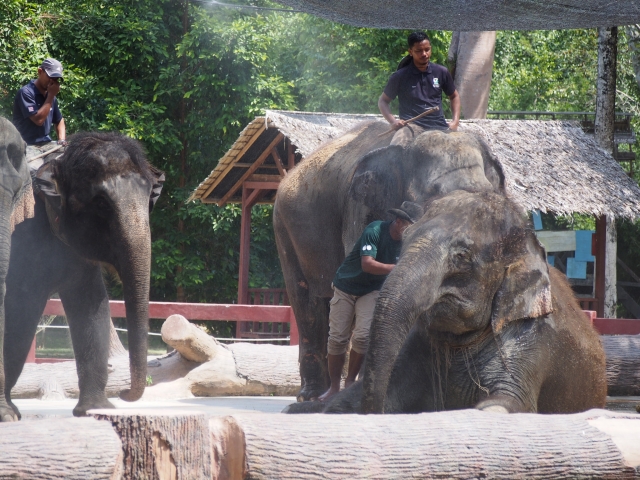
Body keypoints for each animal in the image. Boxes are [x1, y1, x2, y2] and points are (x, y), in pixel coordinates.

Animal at [3, 131, 162, 420]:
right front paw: (8, 413)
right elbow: (22, 308)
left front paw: (95, 408)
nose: (124, 393)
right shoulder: (23, 236)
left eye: (150, 200)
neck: (57, 162)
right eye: (100, 203)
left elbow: (91, 303)